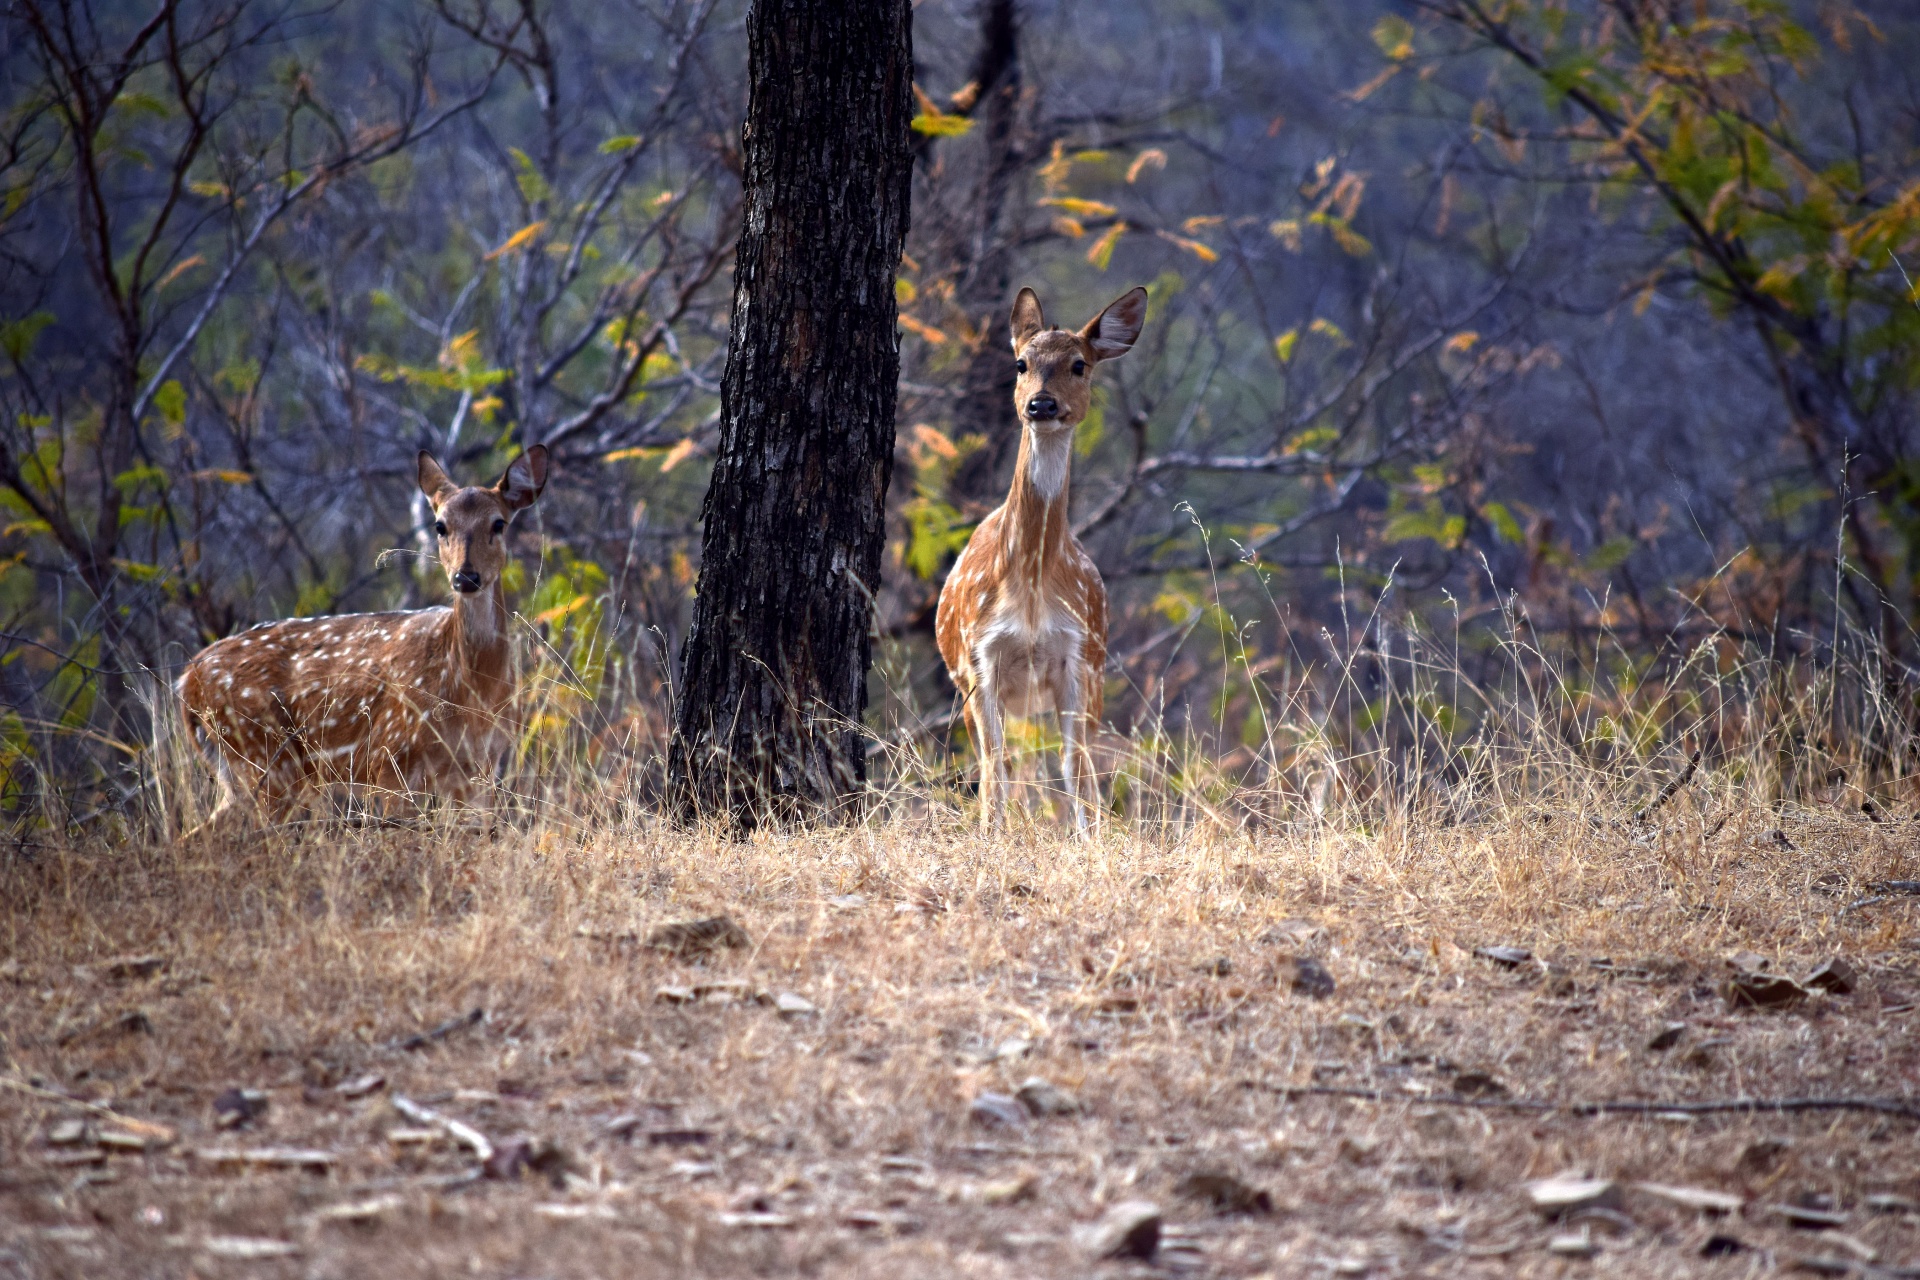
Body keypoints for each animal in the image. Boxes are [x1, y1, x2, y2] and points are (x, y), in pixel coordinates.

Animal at [176, 445, 549, 836]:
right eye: (440, 525)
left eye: (498, 523)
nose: (466, 576)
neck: (473, 692)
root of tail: (186, 680)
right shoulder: (392, 756)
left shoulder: (481, 768)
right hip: (266, 756)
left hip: (240, 772)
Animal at [936, 285, 1144, 836]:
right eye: (1020, 363)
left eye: (1079, 364)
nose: (1041, 403)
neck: (1028, 585)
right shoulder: (979, 654)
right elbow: (994, 763)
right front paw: (991, 837)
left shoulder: (1079, 655)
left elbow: (1075, 766)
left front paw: (1088, 840)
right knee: (1003, 760)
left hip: (1080, 674)